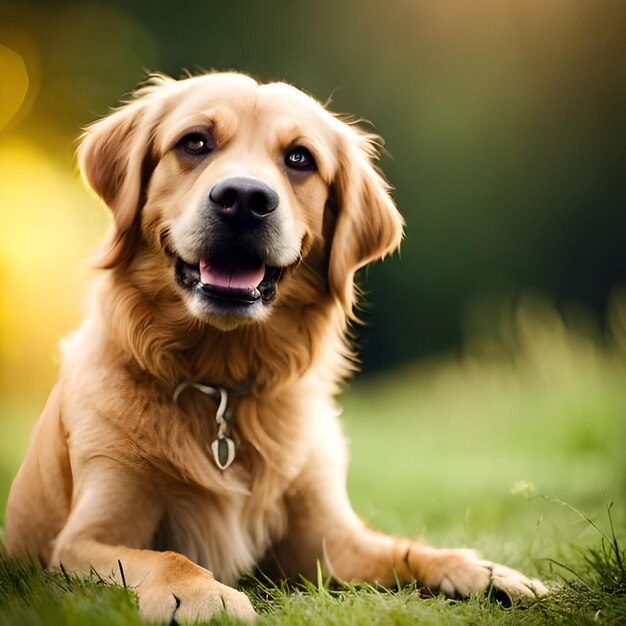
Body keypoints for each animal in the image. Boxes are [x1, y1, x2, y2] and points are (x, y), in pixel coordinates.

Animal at [3, 73, 540, 620]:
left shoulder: (327, 540)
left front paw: (488, 572)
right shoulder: (80, 540)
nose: (243, 198)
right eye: (195, 142)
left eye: (300, 158)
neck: (220, 382)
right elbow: (166, 557)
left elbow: (406, 548)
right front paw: (203, 595)